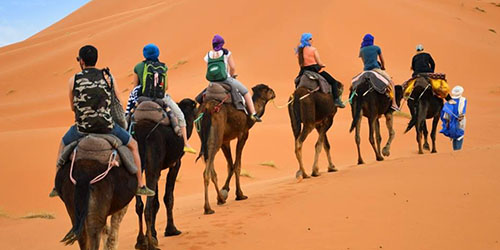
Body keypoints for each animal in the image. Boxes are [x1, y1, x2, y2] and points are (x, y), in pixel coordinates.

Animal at [133, 98, 197, 250]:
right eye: (195, 107)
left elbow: (156, 201)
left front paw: (154, 234)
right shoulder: (176, 163)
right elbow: (168, 197)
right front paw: (171, 230)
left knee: (139, 205)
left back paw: (140, 241)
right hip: (152, 166)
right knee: (147, 207)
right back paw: (150, 245)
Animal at [195, 84, 276, 215]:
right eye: (267, 89)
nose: (274, 92)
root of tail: (207, 108)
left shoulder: (225, 141)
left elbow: (230, 165)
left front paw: (224, 193)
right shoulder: (243, 134)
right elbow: (237, 165)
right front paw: (239, 194)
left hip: (205, 138)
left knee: (211, 168)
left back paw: (220, 200)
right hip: (216, 136)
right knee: (207, 172)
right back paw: (208, 208)